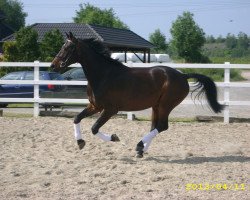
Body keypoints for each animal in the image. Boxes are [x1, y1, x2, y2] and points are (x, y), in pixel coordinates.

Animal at [50, 32, 225, 158]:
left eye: (67, 48)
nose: (53, 66)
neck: (103, 75)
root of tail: (182, 76)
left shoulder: (110, 109)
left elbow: (94, 128)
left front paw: (114, 137)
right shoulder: (95, 106)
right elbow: (76, 118)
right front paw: (80, 142)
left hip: (166, 105)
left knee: (162, 126)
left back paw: (139, 146)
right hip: (156, 106)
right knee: (155, 126)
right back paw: (141, 150)